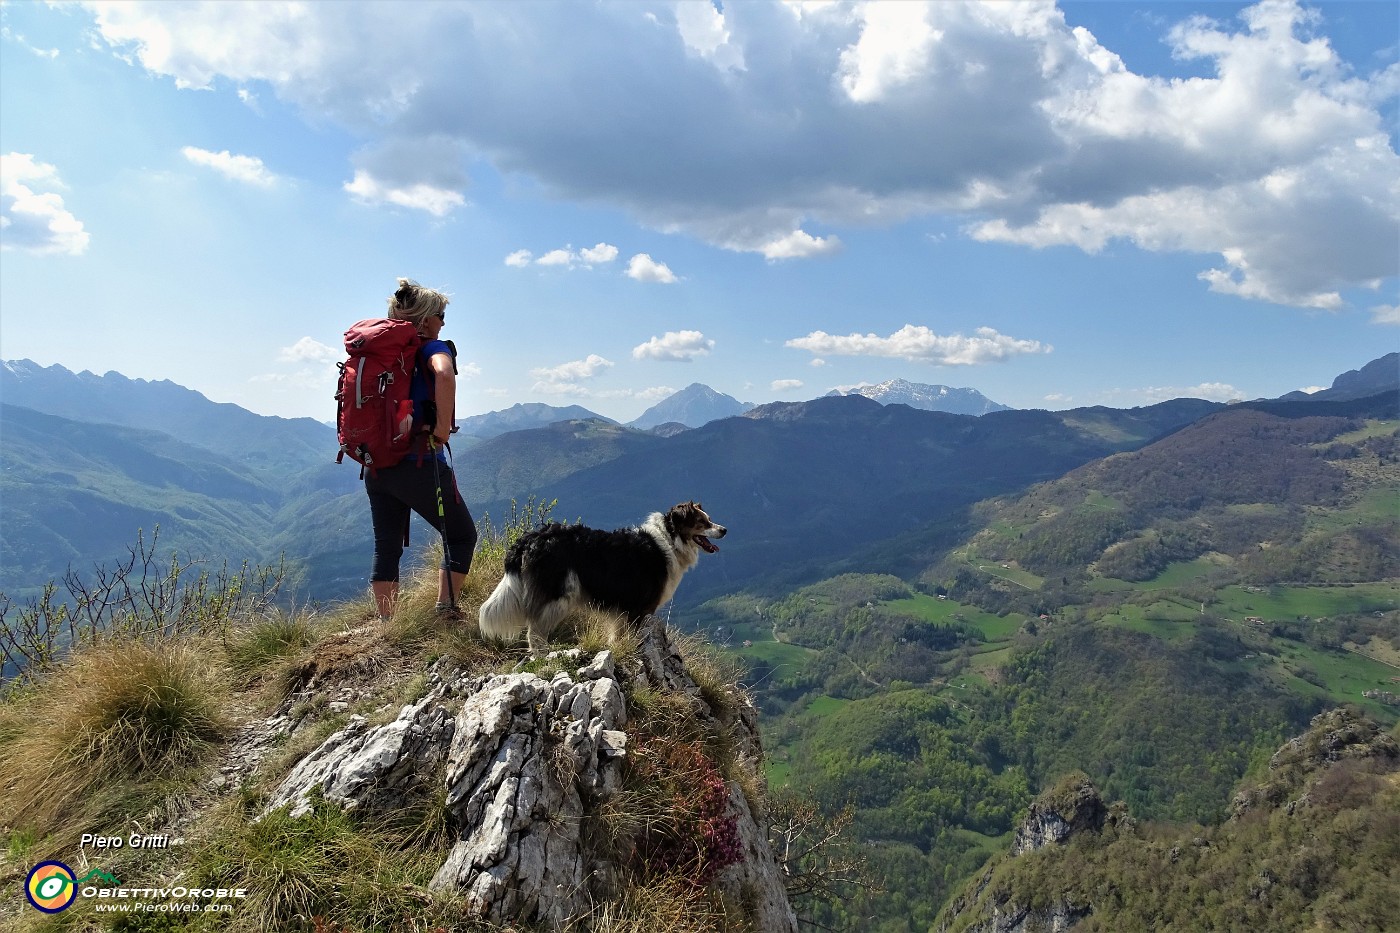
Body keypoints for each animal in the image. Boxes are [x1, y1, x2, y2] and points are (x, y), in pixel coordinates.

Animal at [478, 501, 728, 647]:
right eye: (701, 522)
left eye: (708, 518)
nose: (724, 530)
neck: (670, 539)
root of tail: (530, 537)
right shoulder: (639, 609)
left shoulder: (621, 611)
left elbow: (616, 637)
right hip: (557, 596)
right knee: (534, 632)